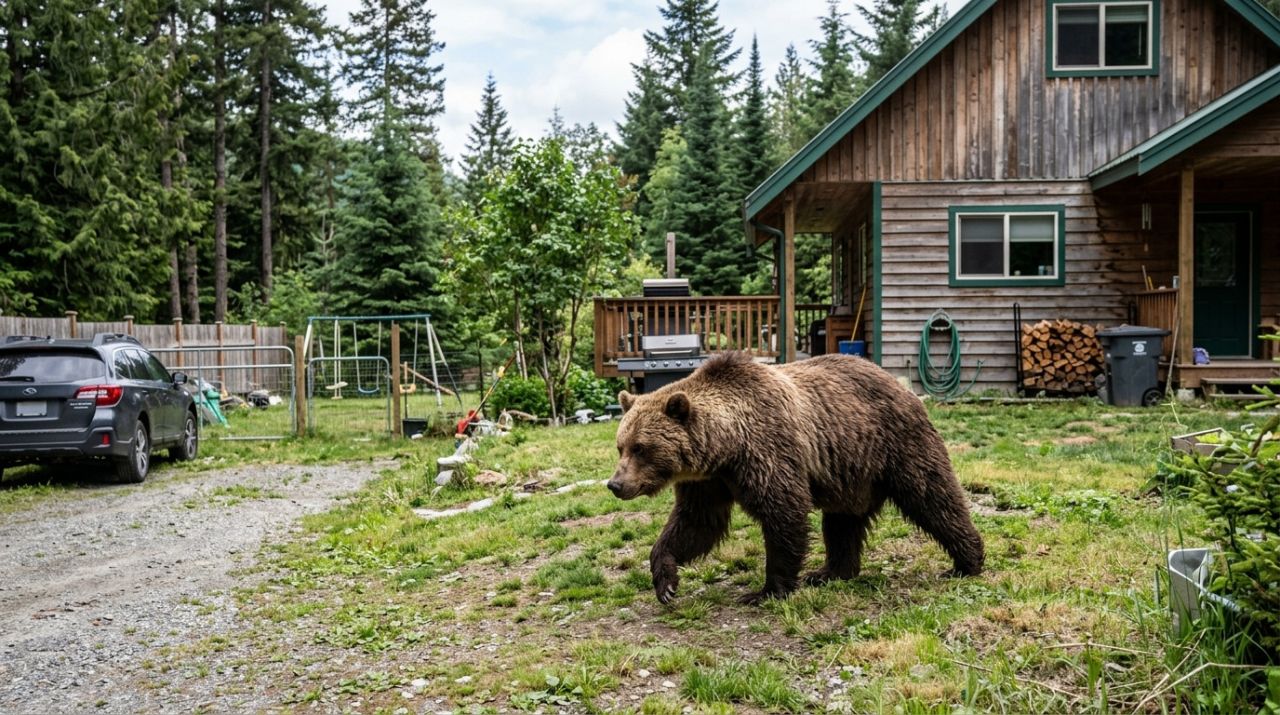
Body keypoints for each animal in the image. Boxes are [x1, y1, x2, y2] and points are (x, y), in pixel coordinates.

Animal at [607, 351, 984, 605]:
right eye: (620, 446)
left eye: (641, 448)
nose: (615, 485)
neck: (726, 447)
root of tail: (901, 384)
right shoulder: (708, 482)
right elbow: (696, 524)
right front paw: (665, 582)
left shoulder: (767, 451)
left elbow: (783, 512)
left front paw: (767, 590)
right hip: (850, 474)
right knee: (842, 524)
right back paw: (830, 572)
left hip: (896, 444)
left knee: (932, 496)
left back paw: (967, 561)